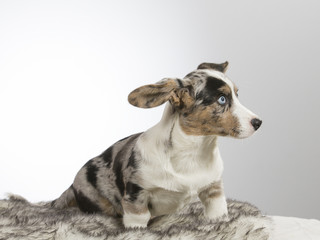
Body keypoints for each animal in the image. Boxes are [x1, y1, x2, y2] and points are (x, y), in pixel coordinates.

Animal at [53, 61, 262, 228]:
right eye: (222, 99)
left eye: (236, 95)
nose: (258, 122)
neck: (195, 151)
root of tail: (71, 186)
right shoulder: (136, 194)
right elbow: (138, 219)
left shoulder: (213, 189)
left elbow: (218, 212)